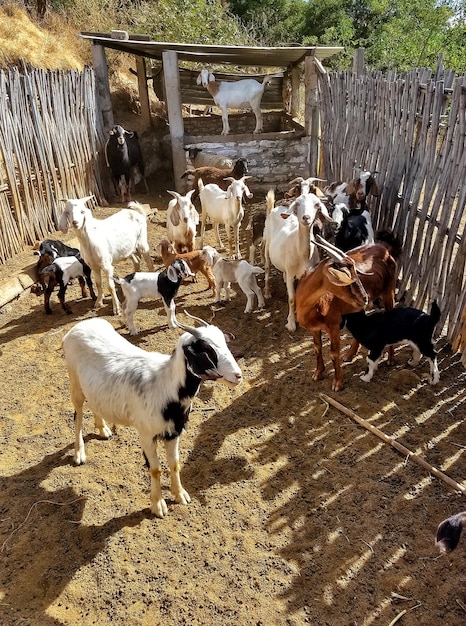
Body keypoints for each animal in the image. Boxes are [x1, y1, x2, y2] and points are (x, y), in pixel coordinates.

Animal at [62, 312, 242, 516]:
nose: (238, 375)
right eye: (207, 351)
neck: (166, 385)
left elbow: (175, 464)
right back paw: (79, 453)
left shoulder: (173, 433)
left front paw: (180, 495)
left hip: (93, 389)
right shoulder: (146, 434)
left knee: (94, 404)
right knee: (77, 416)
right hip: (74, 382)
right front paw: (158, 505)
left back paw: (103, 429)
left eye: (224, 343)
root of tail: (80, 326)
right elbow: (155, 469)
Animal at [264, 188, 334, 332]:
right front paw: (291, 323)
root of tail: (274, 208)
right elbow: (291, 299)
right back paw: (267, 292)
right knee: (267, 267)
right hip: (267, 244)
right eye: (297, 204)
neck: (302, 254)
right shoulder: (292, 275)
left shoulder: (306, 274)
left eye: (317, 205)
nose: (306, 218)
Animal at [294, 235, 396, 390]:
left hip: (388, 292)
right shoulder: (314, 329)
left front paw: (337, 383)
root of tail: (384, 249)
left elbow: (334, 352)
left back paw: (390, 359)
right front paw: (318, 373)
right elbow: (317, 347)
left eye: (356, 273)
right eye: (346, 277)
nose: (365, 298)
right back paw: (349, 355)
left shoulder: (334, 325)